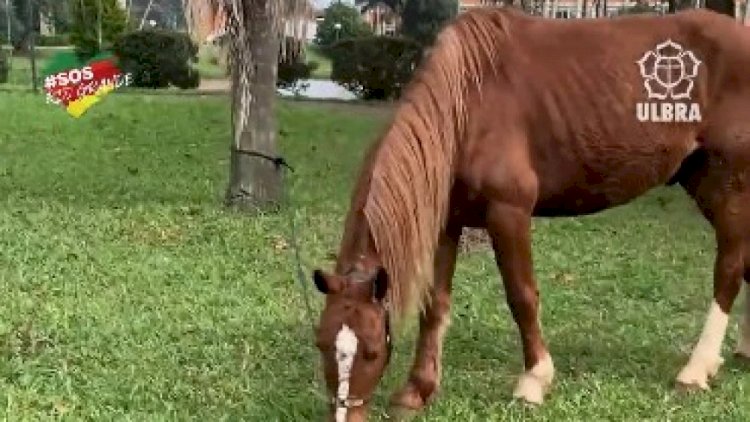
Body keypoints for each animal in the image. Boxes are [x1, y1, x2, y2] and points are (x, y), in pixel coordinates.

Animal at [310, 7, 750, 422]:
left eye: (370, 351)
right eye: (322, 344)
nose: (344, 415)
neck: (468, 104)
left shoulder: (509, 212)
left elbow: (522, 296)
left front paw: (534, 380)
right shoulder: (448, 222)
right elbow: (435, 305)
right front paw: (416, 390)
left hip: (730, 185)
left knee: (729, 269)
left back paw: (696, 369)